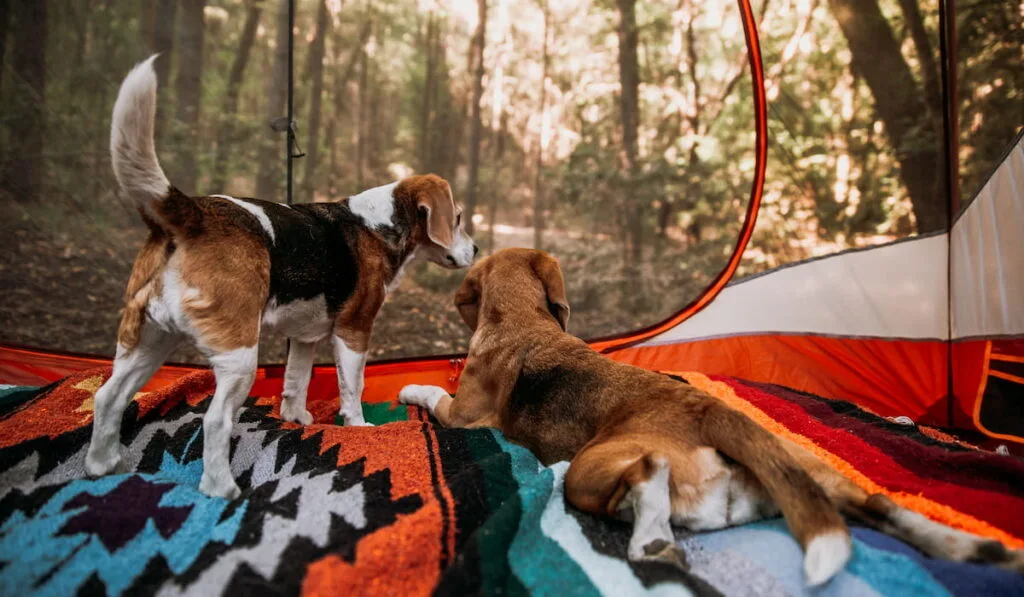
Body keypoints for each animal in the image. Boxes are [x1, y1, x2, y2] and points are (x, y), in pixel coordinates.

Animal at [83, 56, 475, 497]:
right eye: (458, 219)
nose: (477, 250)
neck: (377, 222)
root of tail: (193, 213)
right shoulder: (354, 330)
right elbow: (352, 388)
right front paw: (358, 427)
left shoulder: (303, 336)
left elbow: (295, 381)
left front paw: (295, 418)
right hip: (238, 355)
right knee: (215, 420)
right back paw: (222, 489)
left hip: (147, 342)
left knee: (108, 397)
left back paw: (104, 466)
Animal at [401, 249, 1024, 585]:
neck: (524, 320)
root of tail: (711, 408)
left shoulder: (463, 414)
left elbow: (435, 393)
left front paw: (411, 387)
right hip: (810, 474)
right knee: (879, 505)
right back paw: (976, 549)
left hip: (590, 469)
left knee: (642, 477)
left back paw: (649, 540)